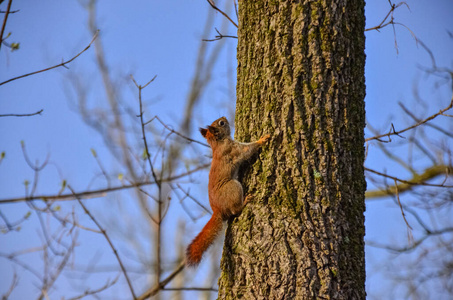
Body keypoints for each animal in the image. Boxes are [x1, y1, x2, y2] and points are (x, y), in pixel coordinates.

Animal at [184, 116, 268, 266]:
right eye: (221, 123)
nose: (224, 117)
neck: (218, 143)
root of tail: (217, 210)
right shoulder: (234, 150)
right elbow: (247, 150)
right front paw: (261, 140)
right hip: (233, 187)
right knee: (235, 210)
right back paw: (245, 201)